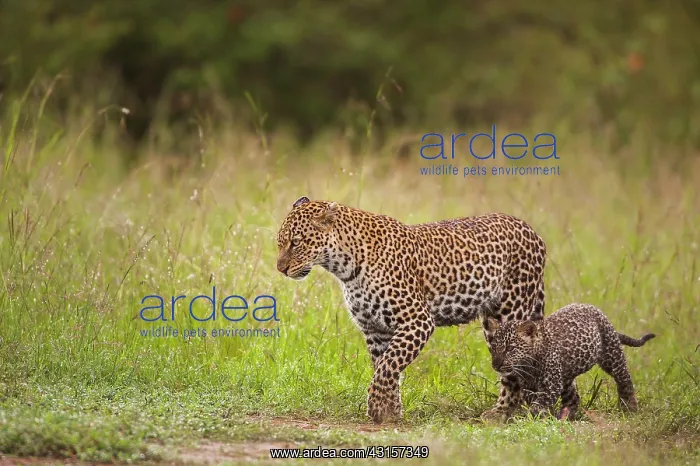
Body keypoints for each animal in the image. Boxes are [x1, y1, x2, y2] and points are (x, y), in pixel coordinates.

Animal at [275, 196, 547, 423]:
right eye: (280, 244)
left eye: (295, 243)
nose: (280, 269)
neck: (345, 267)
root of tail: (533, 232)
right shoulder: (375, 329)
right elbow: (385, 366)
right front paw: (391, 411)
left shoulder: (418, 320)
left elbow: (388, 366)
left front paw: (377, 407)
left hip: (511, 312)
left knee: (515, 367)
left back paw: (502, 412)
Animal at [485, 302, 656, 421]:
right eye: (493, 348)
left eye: (510, 349)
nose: (496, 365)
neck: (528, 365)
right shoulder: (529, 388)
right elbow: (536, 403)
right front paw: (544, 418)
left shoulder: (551, 385)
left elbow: (538, 405)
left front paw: (532, 418)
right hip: (565, 377)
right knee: (573, 399)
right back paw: (565, 417)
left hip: (611, 354)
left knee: (624, 379)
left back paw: (629, 408)